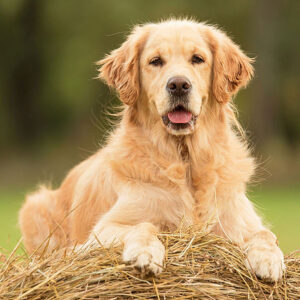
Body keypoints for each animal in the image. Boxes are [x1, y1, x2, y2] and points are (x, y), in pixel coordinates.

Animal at [19, 18, 284, 282]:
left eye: (197, 58)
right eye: (155, 61)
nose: (179, 85)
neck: (185, 160)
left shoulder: (238, 222)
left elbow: (265, 235)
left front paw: (269, 259)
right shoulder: (104, 229)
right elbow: (144, 225)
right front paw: (144, 253)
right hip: (35, 206)